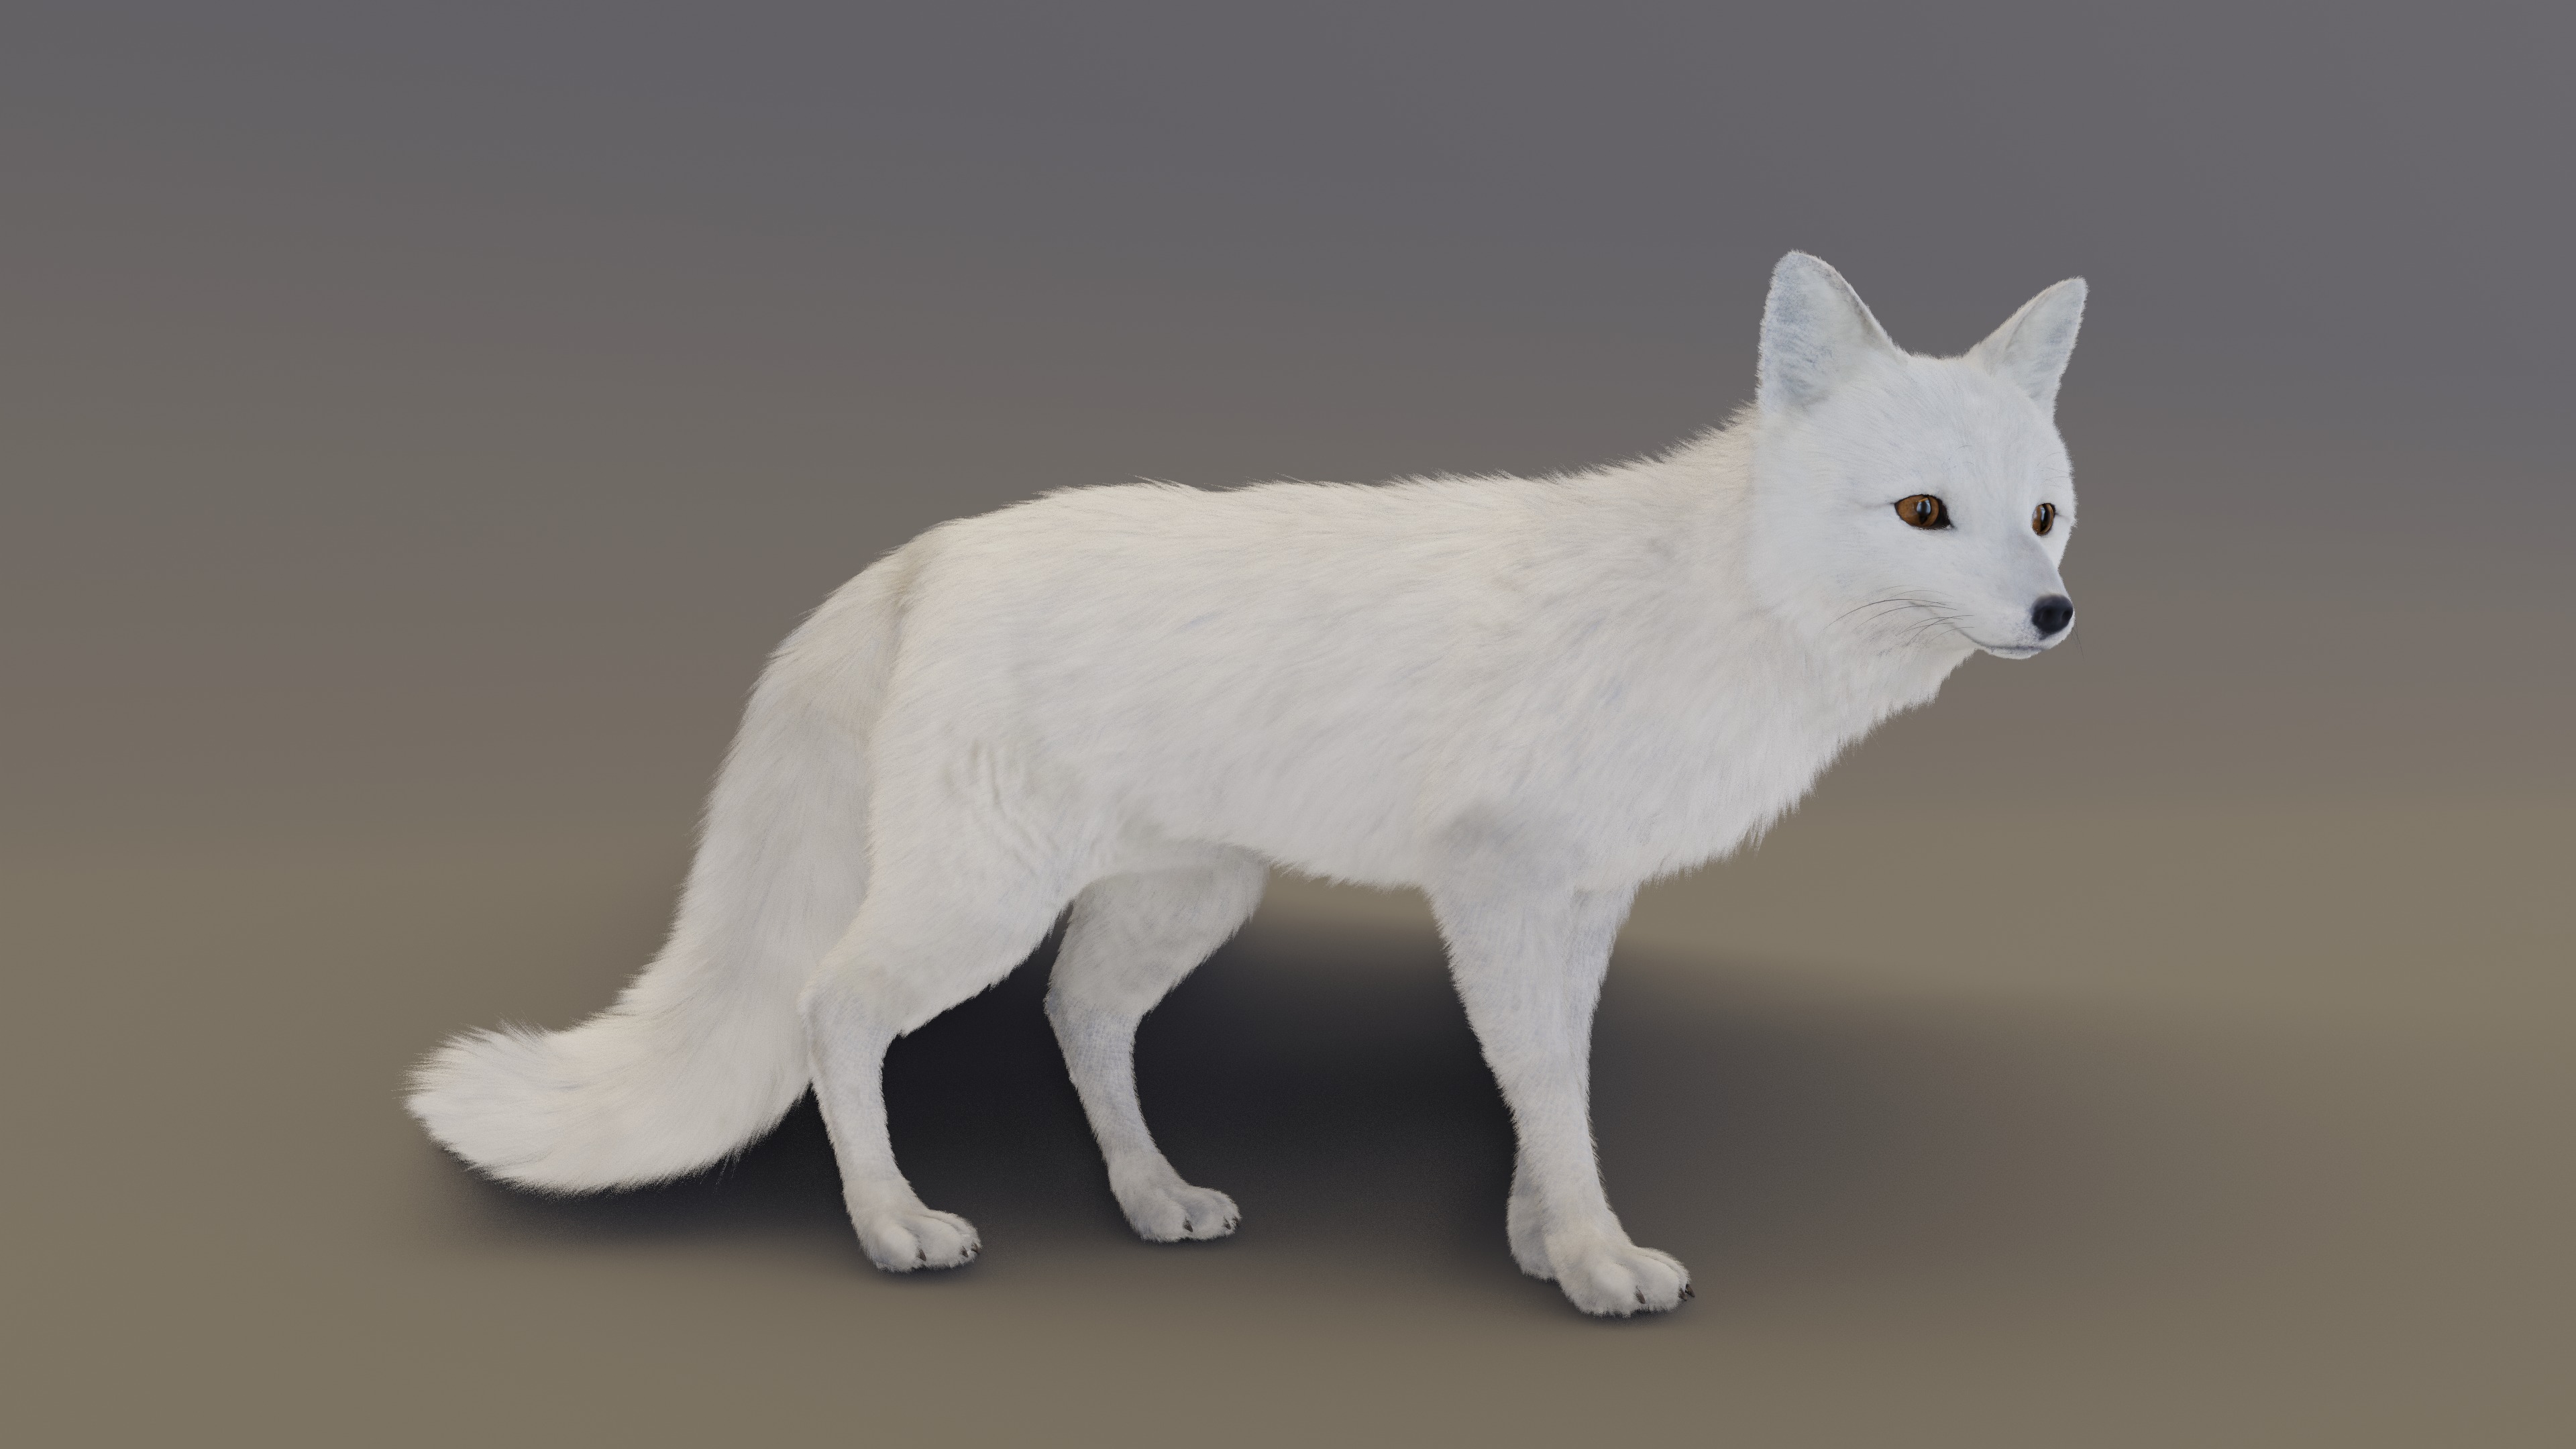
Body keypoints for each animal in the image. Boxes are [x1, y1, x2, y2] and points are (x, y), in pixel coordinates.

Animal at [409, 252, 2085, 1317]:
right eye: (1923, 512)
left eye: (2046, 515)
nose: (2059, 616)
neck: (1715, 612)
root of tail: (930, 548)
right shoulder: (1501, 885)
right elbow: (1548, 1082)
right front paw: (1598, 1265)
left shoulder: (1582, 900)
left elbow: (1546, 1082)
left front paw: (1540, 1242)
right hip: (977, 906)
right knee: (835, 1009)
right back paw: (893, 1226)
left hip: (1185, 900)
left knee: (1078, 1017)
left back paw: (1153, 1201)